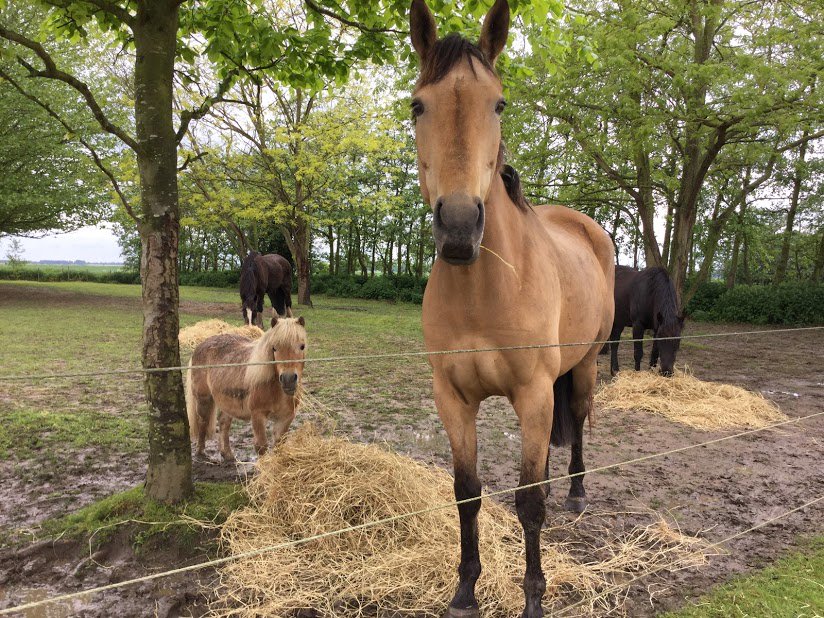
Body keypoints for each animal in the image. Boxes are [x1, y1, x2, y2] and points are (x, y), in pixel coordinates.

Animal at [185, 316, 306, 462]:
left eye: (302, 346)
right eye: (274, 348)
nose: (288, 379)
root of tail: (201, 345)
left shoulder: (286, 418)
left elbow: (279, 445)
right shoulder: (258, 415)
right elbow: (261, 446)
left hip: (228, 402)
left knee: (224, 423)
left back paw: (227, 454)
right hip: (203, 399)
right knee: (202, 421)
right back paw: (200, 452)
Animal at [410, 1, 615, 615]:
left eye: (498, 103)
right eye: (417, 105)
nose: (458, 227)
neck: (484, 290)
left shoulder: (532, 391)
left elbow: (528, 503)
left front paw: (533, 597)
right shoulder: (453, 399)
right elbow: (467, 493)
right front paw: (464, 589)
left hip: (583, 367)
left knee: (579, 422)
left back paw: (576, 492)